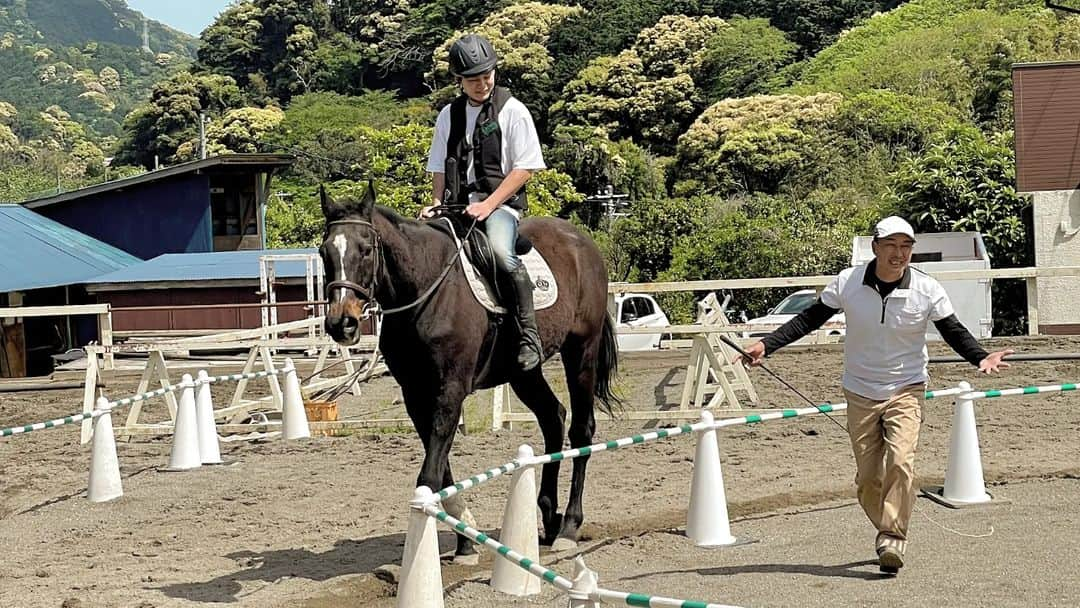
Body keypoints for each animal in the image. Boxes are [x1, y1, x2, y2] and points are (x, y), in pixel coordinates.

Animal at [317, 184, 617, 561]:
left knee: (581, 430)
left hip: (581, 352)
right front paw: (466, 542)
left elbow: (430, 474)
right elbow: (441, 470)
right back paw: (550, 519)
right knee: (553, 418)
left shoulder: (451, 388)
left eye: (367, 249)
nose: (341, 323)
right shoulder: (415, 394)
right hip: (523, 372)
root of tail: (581, 240)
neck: (426, 289)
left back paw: (569, 526)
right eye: (324, 251)